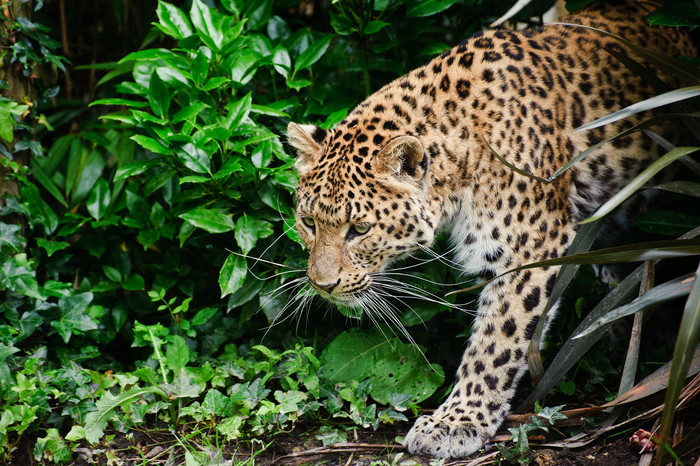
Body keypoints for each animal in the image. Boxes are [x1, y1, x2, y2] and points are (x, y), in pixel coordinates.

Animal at [284, 0, 696, 458]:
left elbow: (497, 340)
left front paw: (455, 422)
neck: (461, 153)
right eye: (308, 222)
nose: (322, 285)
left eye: (358, 229)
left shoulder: (532, 247)